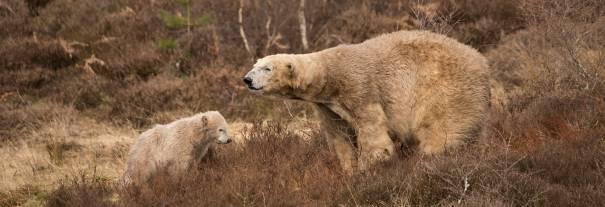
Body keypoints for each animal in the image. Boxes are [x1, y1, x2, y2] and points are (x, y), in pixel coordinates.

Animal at [243, 30, 488, 171]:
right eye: (255, 65)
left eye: (267, 68)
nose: (247, 79)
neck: (328, 74)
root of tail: (482, 61)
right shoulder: (327, 106)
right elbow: (339, 136)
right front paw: (349, 169)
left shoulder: (358, 88)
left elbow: (371, 130)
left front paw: (370, 165)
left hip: (447, 89)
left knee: (441, 128)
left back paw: (430, 157)